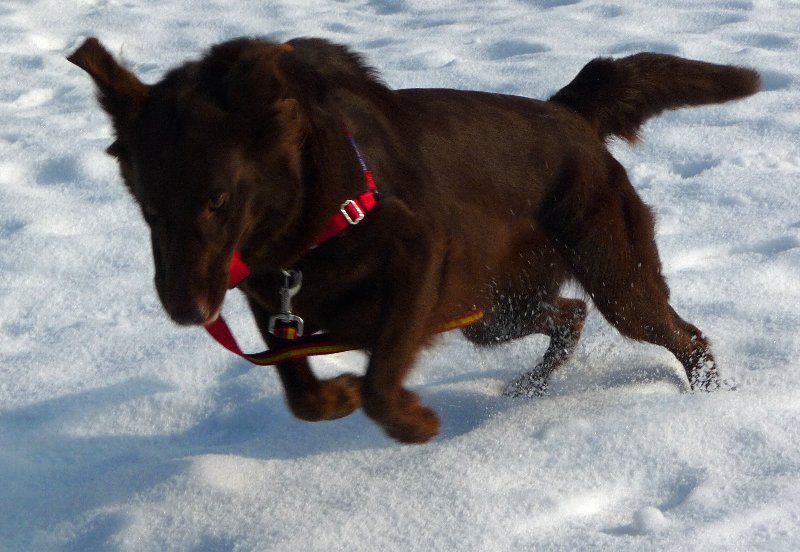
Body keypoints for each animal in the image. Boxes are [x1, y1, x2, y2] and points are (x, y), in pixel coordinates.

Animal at [68, 36, 759, 443]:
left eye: (217, 200)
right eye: (148, 208)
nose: (187, 310)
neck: (308, 226)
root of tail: (568, 114)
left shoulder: (421, 257)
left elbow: (381, 377)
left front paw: (413, 422)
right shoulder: (268, 298)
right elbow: (301, 393)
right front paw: (335, 396)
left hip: (613, 276)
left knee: (682, 334)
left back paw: (712, 399)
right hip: (489, 308)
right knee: (568, 313)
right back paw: (528, 388)